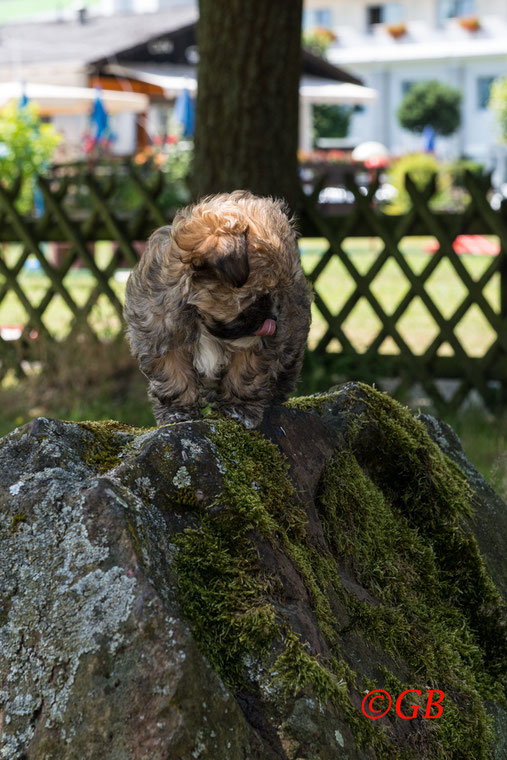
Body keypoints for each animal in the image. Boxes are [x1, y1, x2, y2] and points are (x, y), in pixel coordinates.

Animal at [124, 190, 314, 428]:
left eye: (278, 293)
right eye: (258, 295)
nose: (273, 320)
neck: (199, 315)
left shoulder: (255, 345)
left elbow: (245, 373)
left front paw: (239, 408)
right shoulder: (160, 334)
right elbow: (173, 375)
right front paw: (178, 412)